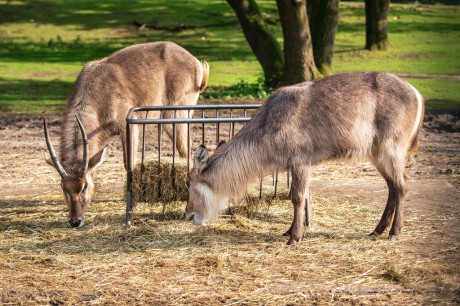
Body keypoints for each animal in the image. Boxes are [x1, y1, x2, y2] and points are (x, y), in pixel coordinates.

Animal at [44, 41, 209, 227]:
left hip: (175, 116)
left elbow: (128, 163)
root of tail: (196, 64)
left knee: (186, 151)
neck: (95, 91)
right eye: (63, 187)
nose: (74, 221)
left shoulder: (128, 126)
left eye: (84, 186)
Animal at [184, 71, 424, 244]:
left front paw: (294, 238)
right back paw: (377, 231)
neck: (267, 125)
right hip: (376, 154)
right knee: (392, 187)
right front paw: (289, 231)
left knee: (402, 187)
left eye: (187, 183)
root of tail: (416, 93)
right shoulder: (296, 165)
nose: (186, 215)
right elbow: (299, 196)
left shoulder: (301, 161)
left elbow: (298, 198)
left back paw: (394, 234)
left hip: (391, 148)